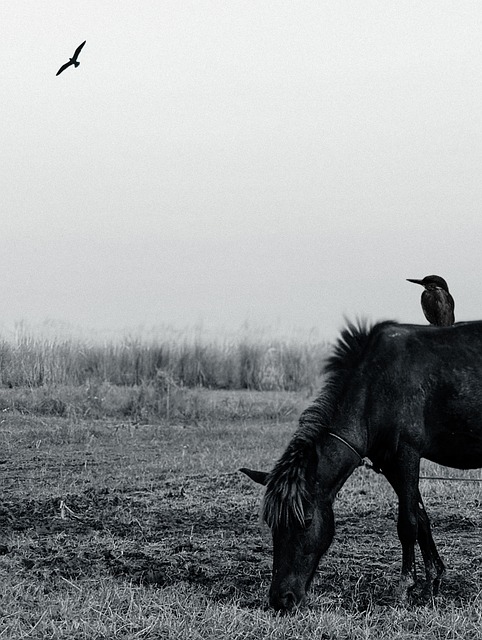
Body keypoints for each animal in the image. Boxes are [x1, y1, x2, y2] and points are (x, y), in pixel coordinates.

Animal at [241, 320, 482, 611]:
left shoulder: (406, 456)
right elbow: (422, 519)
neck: (374, 388)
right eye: (271, 524)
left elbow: (408, 523)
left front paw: (405, 587)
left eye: (306, 521)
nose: (281, 599)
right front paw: (432, 582)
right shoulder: (389, 464)